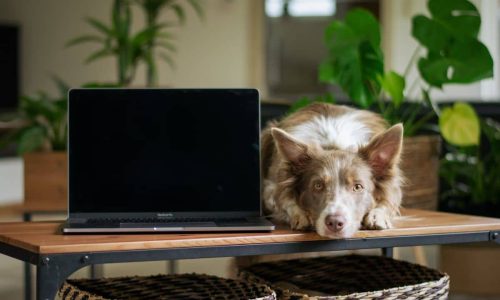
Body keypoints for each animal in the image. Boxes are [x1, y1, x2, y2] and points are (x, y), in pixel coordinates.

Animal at [260, 102, 404, 238]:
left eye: (358, 187)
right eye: (318, 186)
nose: (335, 222)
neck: (334, 146)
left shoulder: (394, 188)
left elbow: (389, 201)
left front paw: (377, 216)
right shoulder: (271, 187)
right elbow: (284, 200)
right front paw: (300, 214)